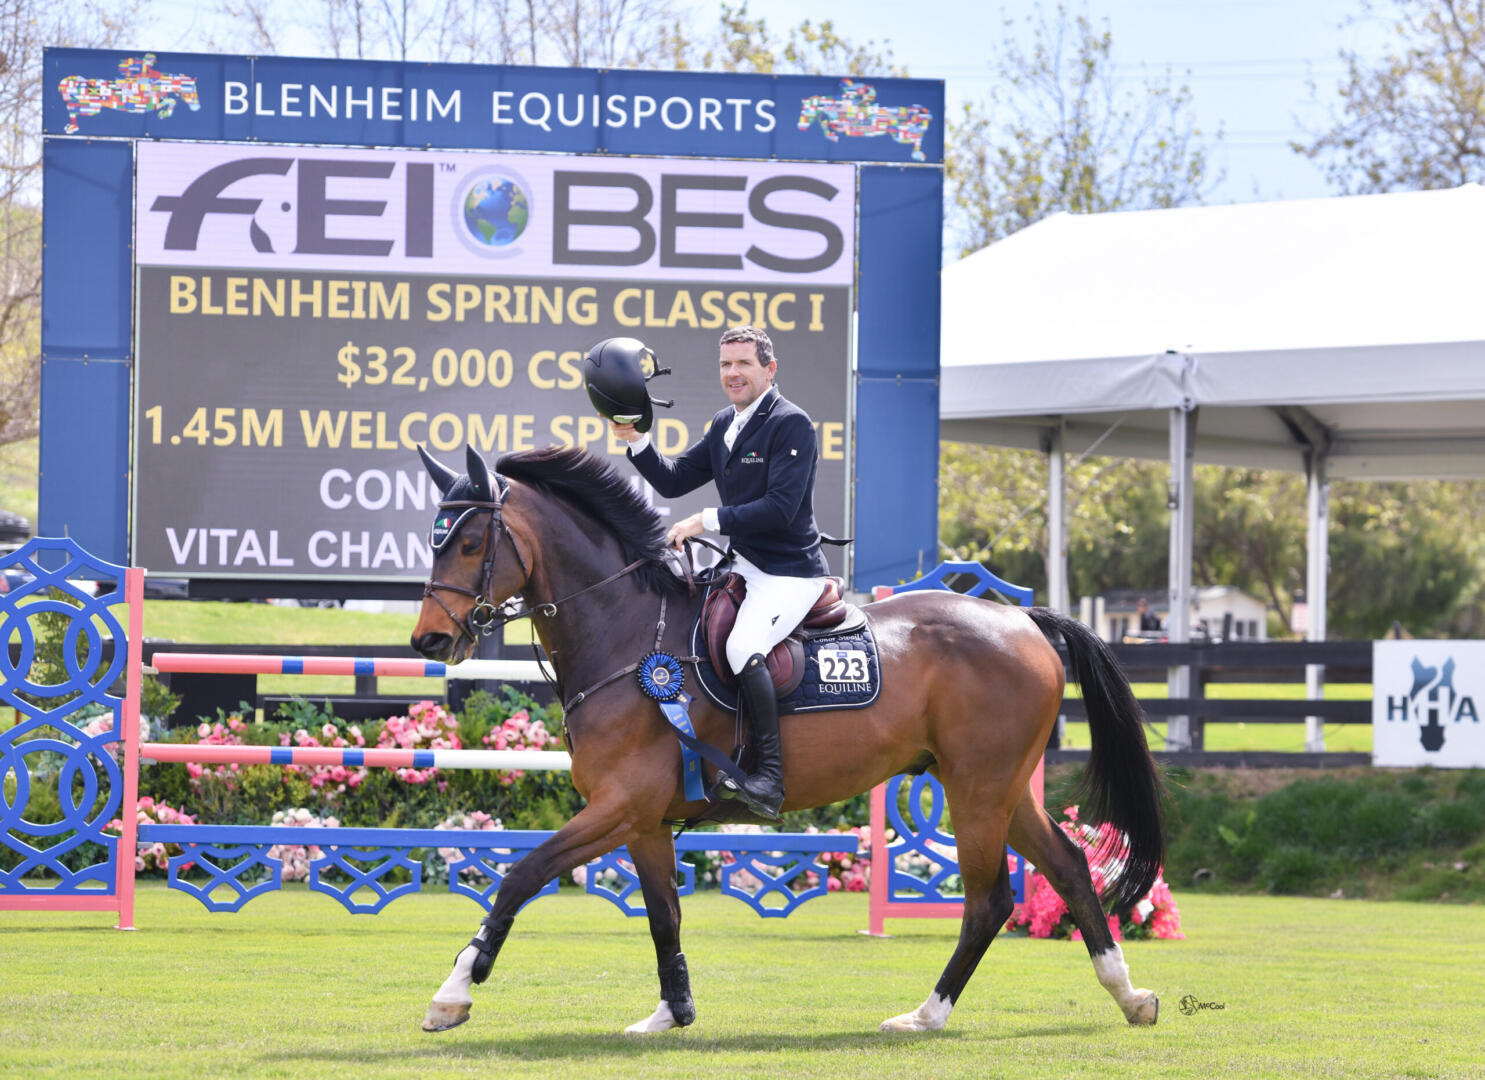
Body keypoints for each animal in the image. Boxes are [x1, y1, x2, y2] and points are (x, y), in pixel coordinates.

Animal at [412, 448, 1164, 1039]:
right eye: (435, 540)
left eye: (471, 544)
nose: (429, 640)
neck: (628, 635)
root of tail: (1024, 623)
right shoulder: (643, 820)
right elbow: (664, 917)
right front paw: (672, 1012)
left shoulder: (620, 806)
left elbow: (520, 875)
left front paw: (452, 993)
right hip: (1001, 788)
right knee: (1068, 867)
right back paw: (1128, 994)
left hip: (977, 789)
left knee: (989, 902)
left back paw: (925, 1015)